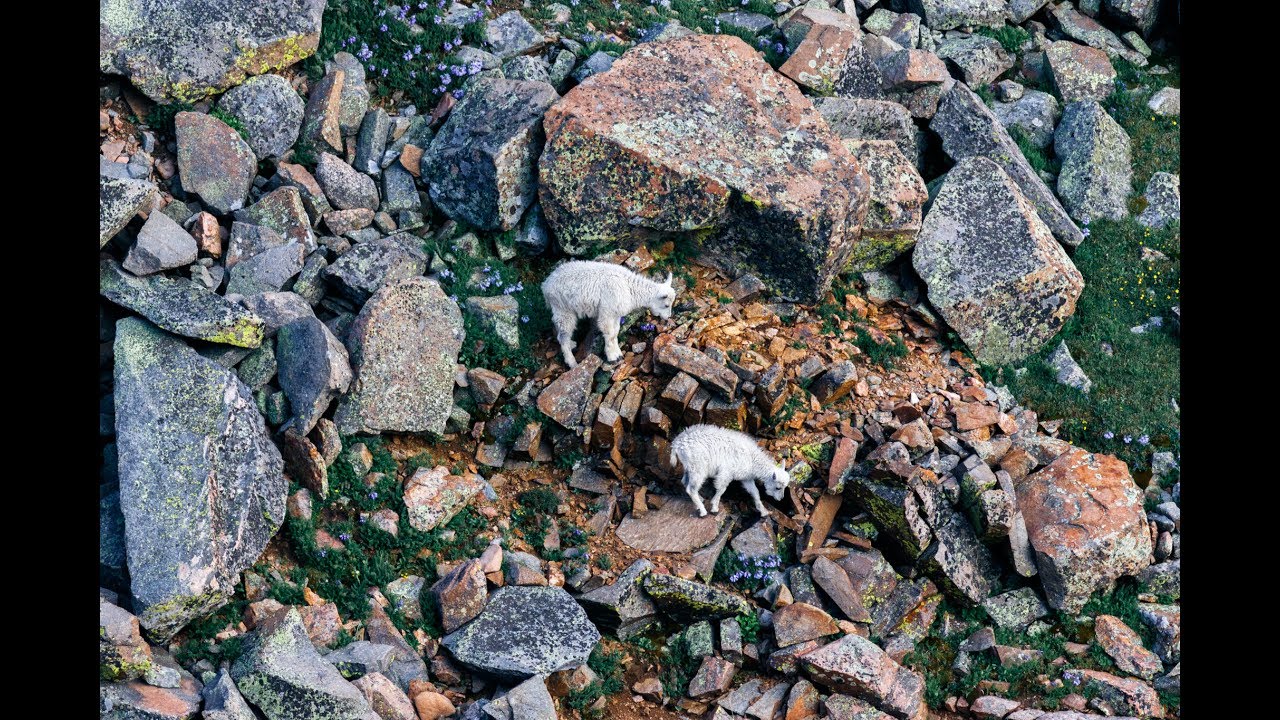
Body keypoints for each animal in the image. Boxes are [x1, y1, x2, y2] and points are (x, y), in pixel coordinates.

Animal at [540, 260, 676, 368]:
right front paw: (612, 357)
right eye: (666, 305)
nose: (668, 317)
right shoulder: (607, 311)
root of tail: (546, 285)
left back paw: (571, 344)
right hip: (562, 308)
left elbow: (615, 332)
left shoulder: (615, 313)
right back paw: (572, 362)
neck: (629, 288)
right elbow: (609, 333)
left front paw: (618, 354)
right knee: (562, 336)